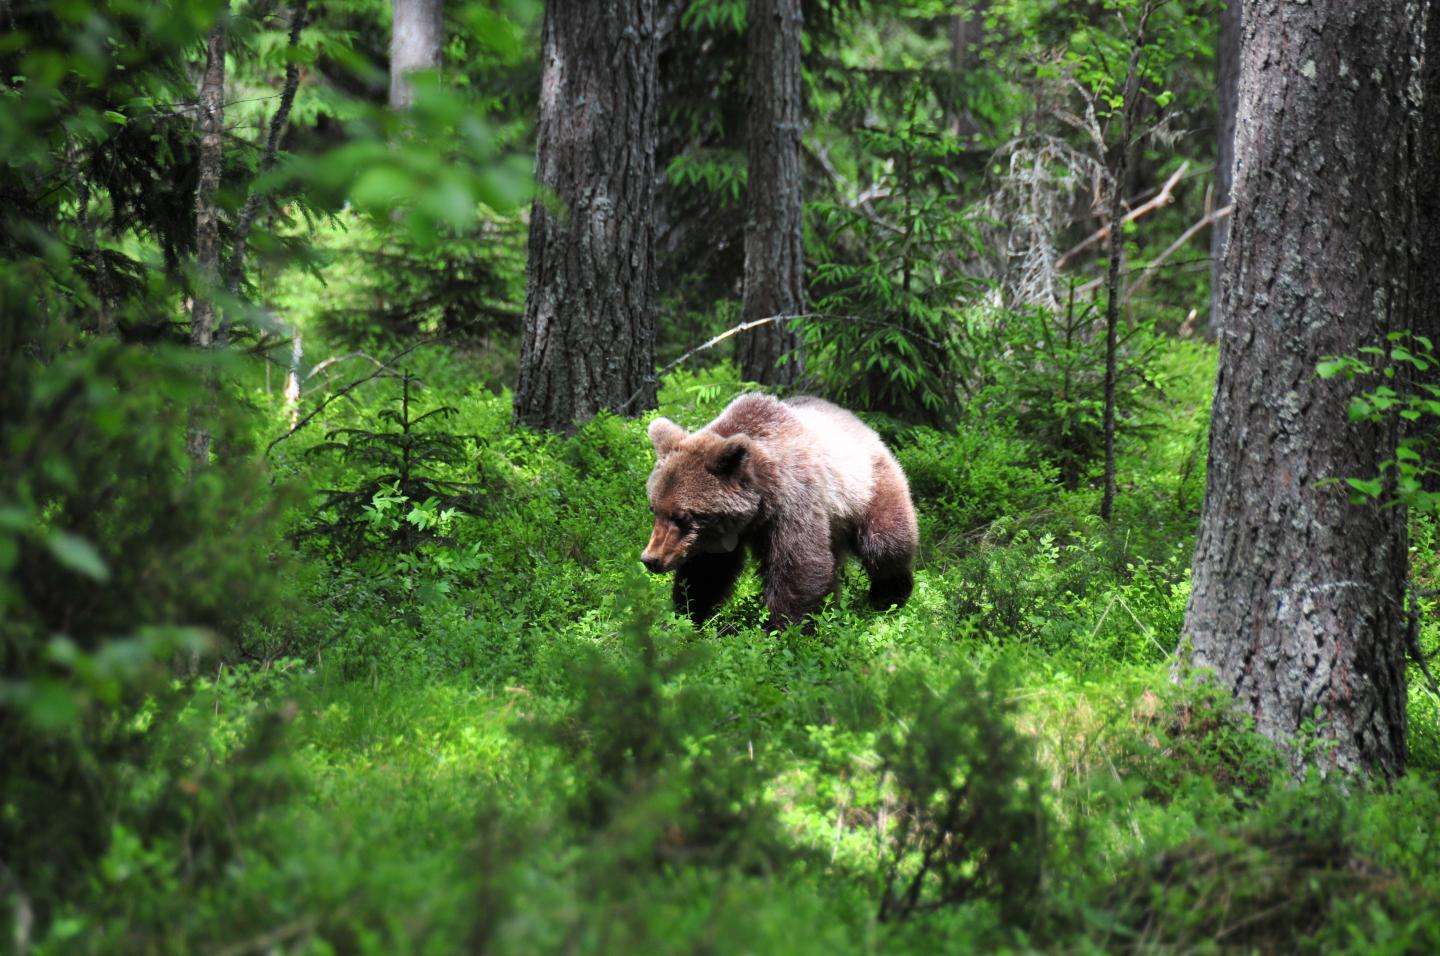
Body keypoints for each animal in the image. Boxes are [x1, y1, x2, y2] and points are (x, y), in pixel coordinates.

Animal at [640, 393, 918, 626]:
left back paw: (889, 597)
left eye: (682, 516)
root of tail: (864, 425)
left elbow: (798, 565)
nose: (650, 559)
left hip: (868, 489)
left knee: (886, 546)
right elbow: (706, 572)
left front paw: (786, 628)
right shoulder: (716, 537)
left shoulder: (793, 502)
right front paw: (687, 617)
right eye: (654, 508)